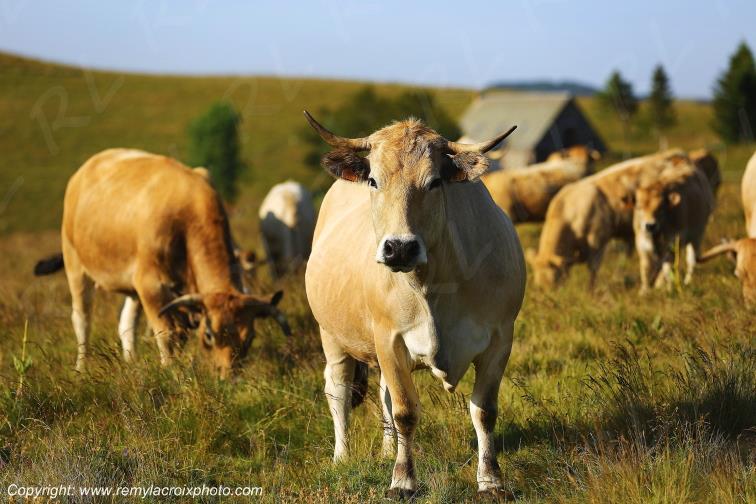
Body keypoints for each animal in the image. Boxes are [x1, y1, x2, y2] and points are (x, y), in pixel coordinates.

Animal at [33, 149, 290, 377]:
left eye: (249, 338)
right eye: (210, 336)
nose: (229, 377)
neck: (188, 216)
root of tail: (88, 166)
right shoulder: (151, 285)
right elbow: (165, 334)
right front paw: (171, 372)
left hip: (132, 285)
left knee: (126, 325)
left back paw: (131, 364)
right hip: (75, 265)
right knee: (82, 321)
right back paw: (81, 369)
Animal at [303, 111, 525, 497]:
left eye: (434, 182)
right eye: (373, 180)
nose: (400, 248)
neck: (433, 286)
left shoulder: (500, 339)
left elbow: (484, 411)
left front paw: (490, 480)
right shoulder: (389, 339)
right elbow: (406, 411)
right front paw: (402, 480)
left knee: (383, 397)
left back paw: (386, 450)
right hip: (331, 335)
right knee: (338, 391)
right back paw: (342, 457)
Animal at [632, 163, 714, 292]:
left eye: (661, 208)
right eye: (639, 207)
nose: (650, 225)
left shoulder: (673, 242)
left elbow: (667, 268)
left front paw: (668, 288)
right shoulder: (642, 243)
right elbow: (646, 267)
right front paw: (644, 291)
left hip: (697, 236)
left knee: (691, 260)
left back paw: (687, 281)